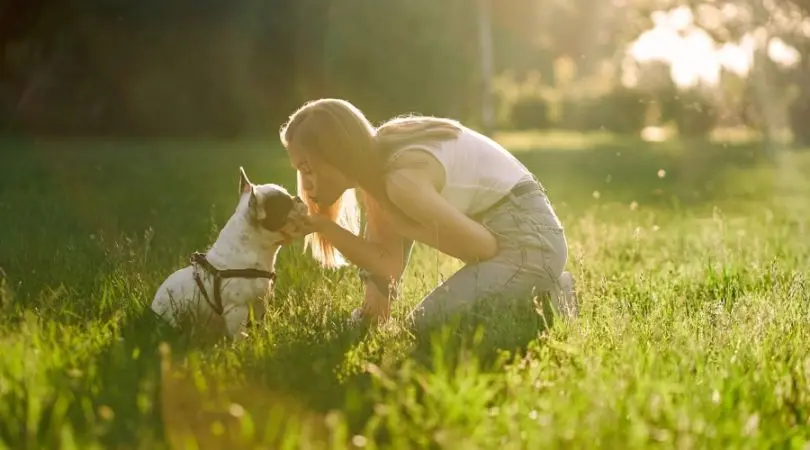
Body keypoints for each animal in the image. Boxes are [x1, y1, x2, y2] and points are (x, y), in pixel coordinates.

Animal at [150, 167, 304, 340]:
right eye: (285, 204)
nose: (298, 198)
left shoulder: (259, 304)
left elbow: (259, 325)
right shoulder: (236, 310)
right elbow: (239, 334)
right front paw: (243, 345)